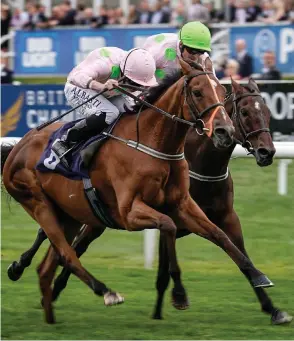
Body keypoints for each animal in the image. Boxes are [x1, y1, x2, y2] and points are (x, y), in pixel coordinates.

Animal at [2, 59, 272, 322]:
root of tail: (19, 145)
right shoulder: (131, 213)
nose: (224, 131)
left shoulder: (186, 206)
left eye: (221, 93)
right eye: (197, 92)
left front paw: (259, 279)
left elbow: (221, 236)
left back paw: (48, 311)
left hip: (70, 213)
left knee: (48, 265)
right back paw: (105, 292)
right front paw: (178, 294)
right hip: (41, 204)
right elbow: (168, 228)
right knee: (66, 253)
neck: (155, 143)